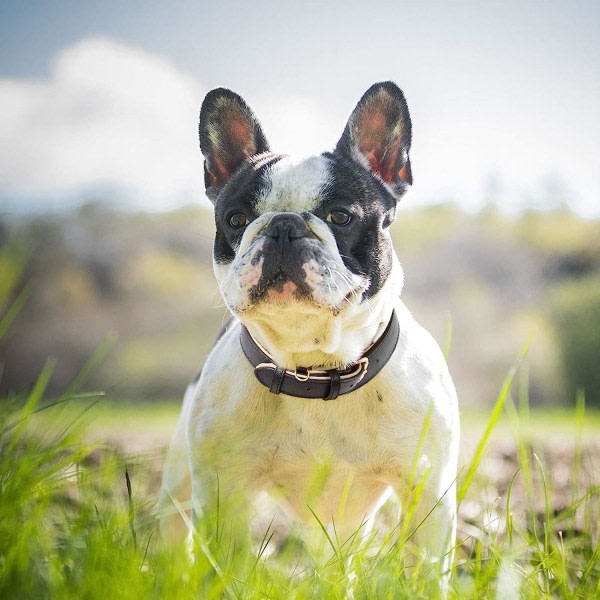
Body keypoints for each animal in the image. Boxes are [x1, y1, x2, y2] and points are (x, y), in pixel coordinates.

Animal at [159, 82, 460, 588]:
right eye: (236, 219)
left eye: (340, 216)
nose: (283, 225)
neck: (313, 368)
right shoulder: (224, 492)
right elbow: (227, 562)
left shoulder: (427, 491)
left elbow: (423, 567)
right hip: (180, 482)